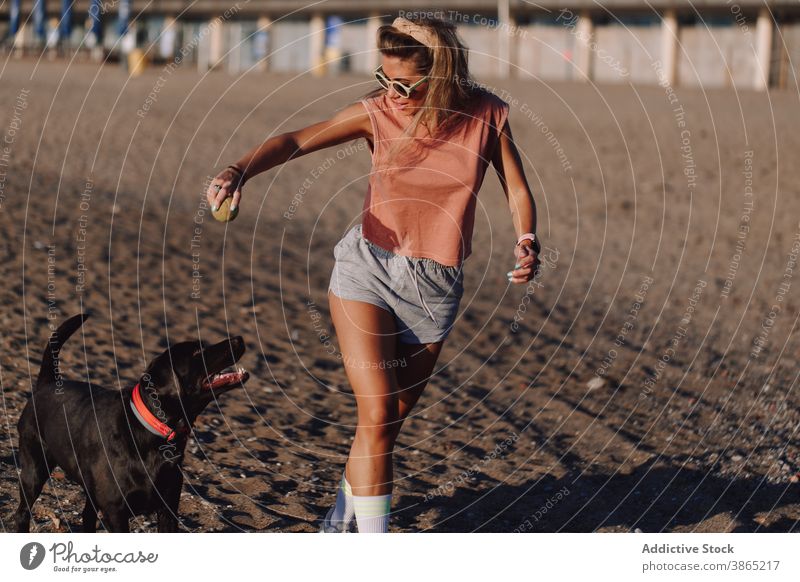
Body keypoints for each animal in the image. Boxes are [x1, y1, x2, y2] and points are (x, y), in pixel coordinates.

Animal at [13, 314, 250, 532]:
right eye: (196, 353)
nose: (239, 338)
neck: (155, 431)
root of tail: (47, 384)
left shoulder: (168, 510)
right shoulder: (115, 512)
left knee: (87, 516)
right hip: (34, 470)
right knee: (23, 512)